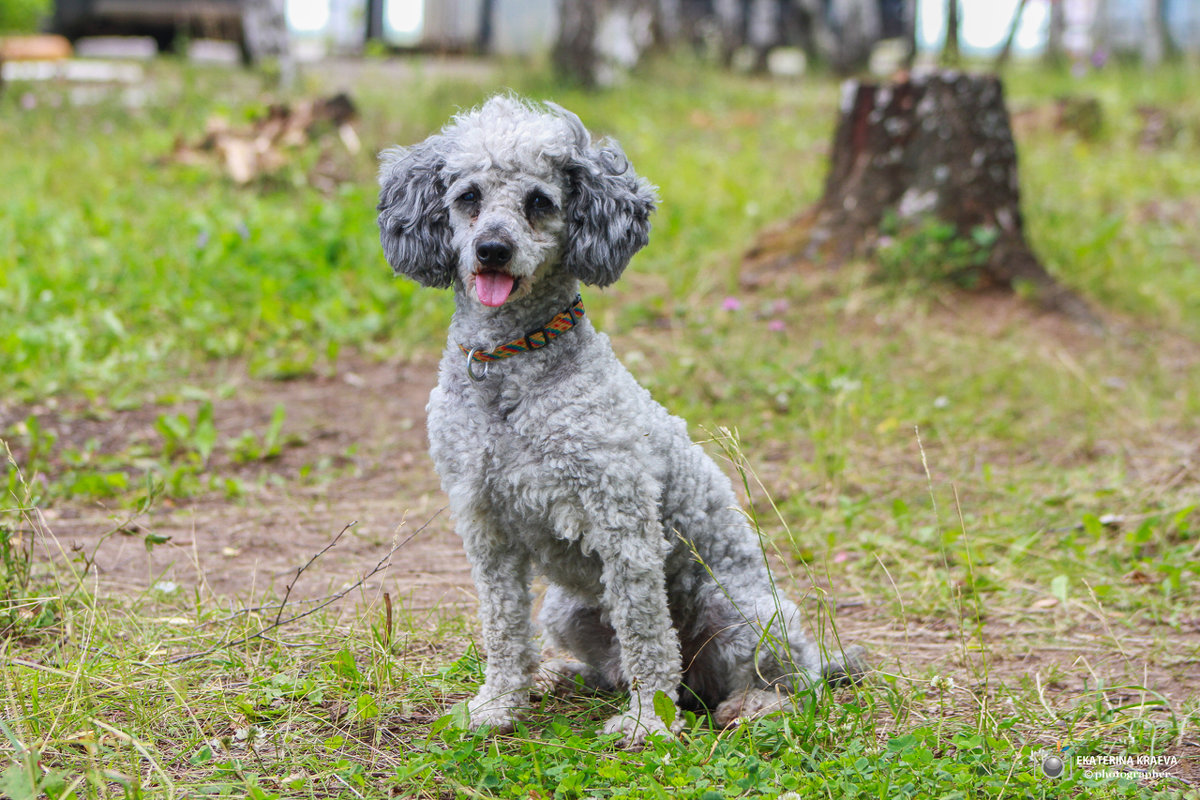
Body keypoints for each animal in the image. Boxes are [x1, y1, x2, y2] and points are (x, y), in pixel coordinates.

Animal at [376, 95, 864, 753]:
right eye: (468, 196)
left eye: (539, 201)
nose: (493, 249)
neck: (511, 366)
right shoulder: (485, 525)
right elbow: (502, 629)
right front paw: (498, 705)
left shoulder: (624, 524)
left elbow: (646, 634)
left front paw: (647, 723)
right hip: (568, 609)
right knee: (606, 668)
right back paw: (554, 675)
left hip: (736, 609)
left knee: (787, 681)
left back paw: (749, 705)